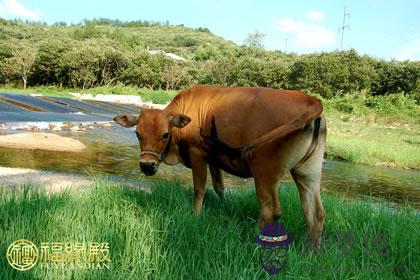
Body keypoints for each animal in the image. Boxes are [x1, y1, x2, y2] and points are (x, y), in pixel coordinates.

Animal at [113, 85, 326, 249]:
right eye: (137, 133)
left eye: (165, 134)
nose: (147, 166)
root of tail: (310, 99)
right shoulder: (214, 159)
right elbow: (219, 187)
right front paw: (225, 208)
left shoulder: (198, 154)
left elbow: (199, 188)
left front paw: (196, 216)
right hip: (308, 173)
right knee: (314, 213)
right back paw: (310, 250)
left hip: (264, 173)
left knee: (270, 212)